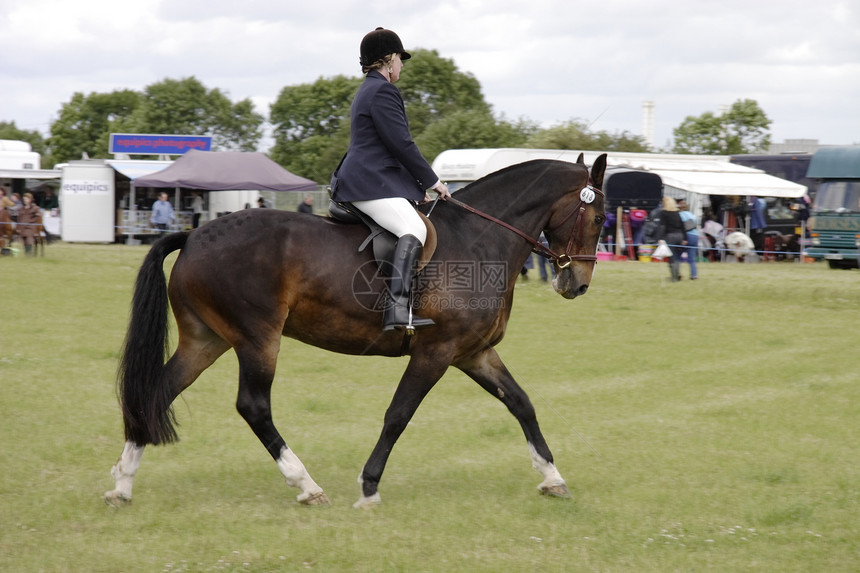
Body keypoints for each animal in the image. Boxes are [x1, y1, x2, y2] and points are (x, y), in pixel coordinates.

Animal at [104, 155, 608, 504]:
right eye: (601, 217)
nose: (578, 284)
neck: (478, 242)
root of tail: (194, 235)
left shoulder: (473, 352)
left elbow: (521, 404)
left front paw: (553, 478)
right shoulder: (436, 351)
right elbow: (398, 415)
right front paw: (369, 486)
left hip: (206, 340)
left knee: (158, 390)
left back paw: (123, 484)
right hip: (257, 339)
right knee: (253, 406)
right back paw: (306, 485)